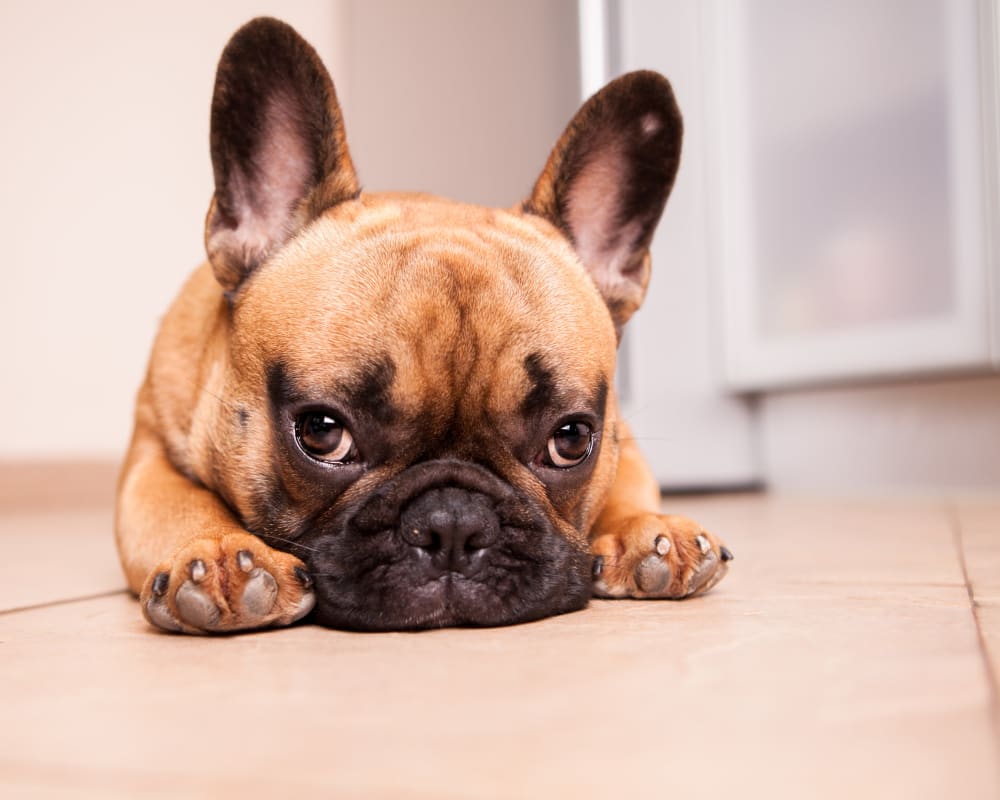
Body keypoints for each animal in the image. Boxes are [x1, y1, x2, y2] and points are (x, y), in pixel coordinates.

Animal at [113, 15, 732, 636]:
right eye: (322, 433)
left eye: (572, 440)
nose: (454, 524)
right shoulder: (149, 463)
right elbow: (178, 503)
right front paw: (219, 552)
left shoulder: (624, 442)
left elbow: (627, 484)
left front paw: (645, 528)